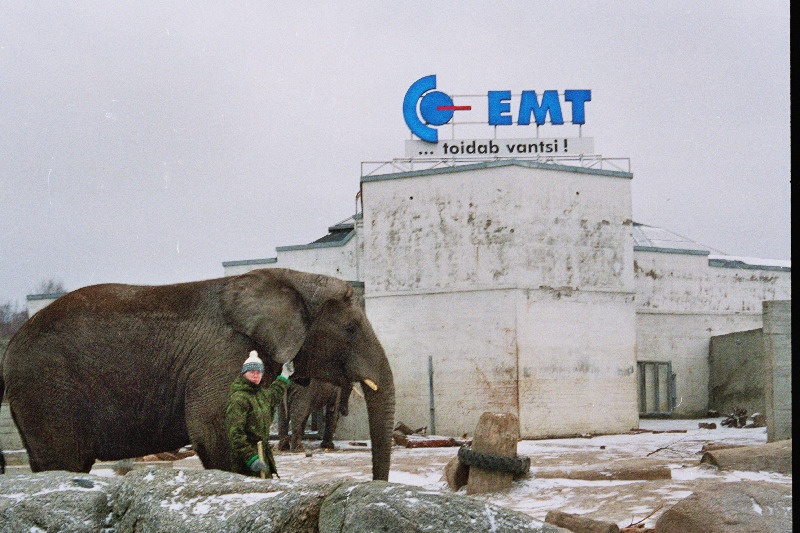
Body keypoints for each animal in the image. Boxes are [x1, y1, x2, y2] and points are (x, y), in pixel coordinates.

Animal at [0, 268, 394, 480]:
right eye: (350, 329)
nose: (377, 483)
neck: (294, 278)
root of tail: (10, 346)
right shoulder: (224, 353)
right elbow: (215, 431)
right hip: (48, 391)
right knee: (65, 462)